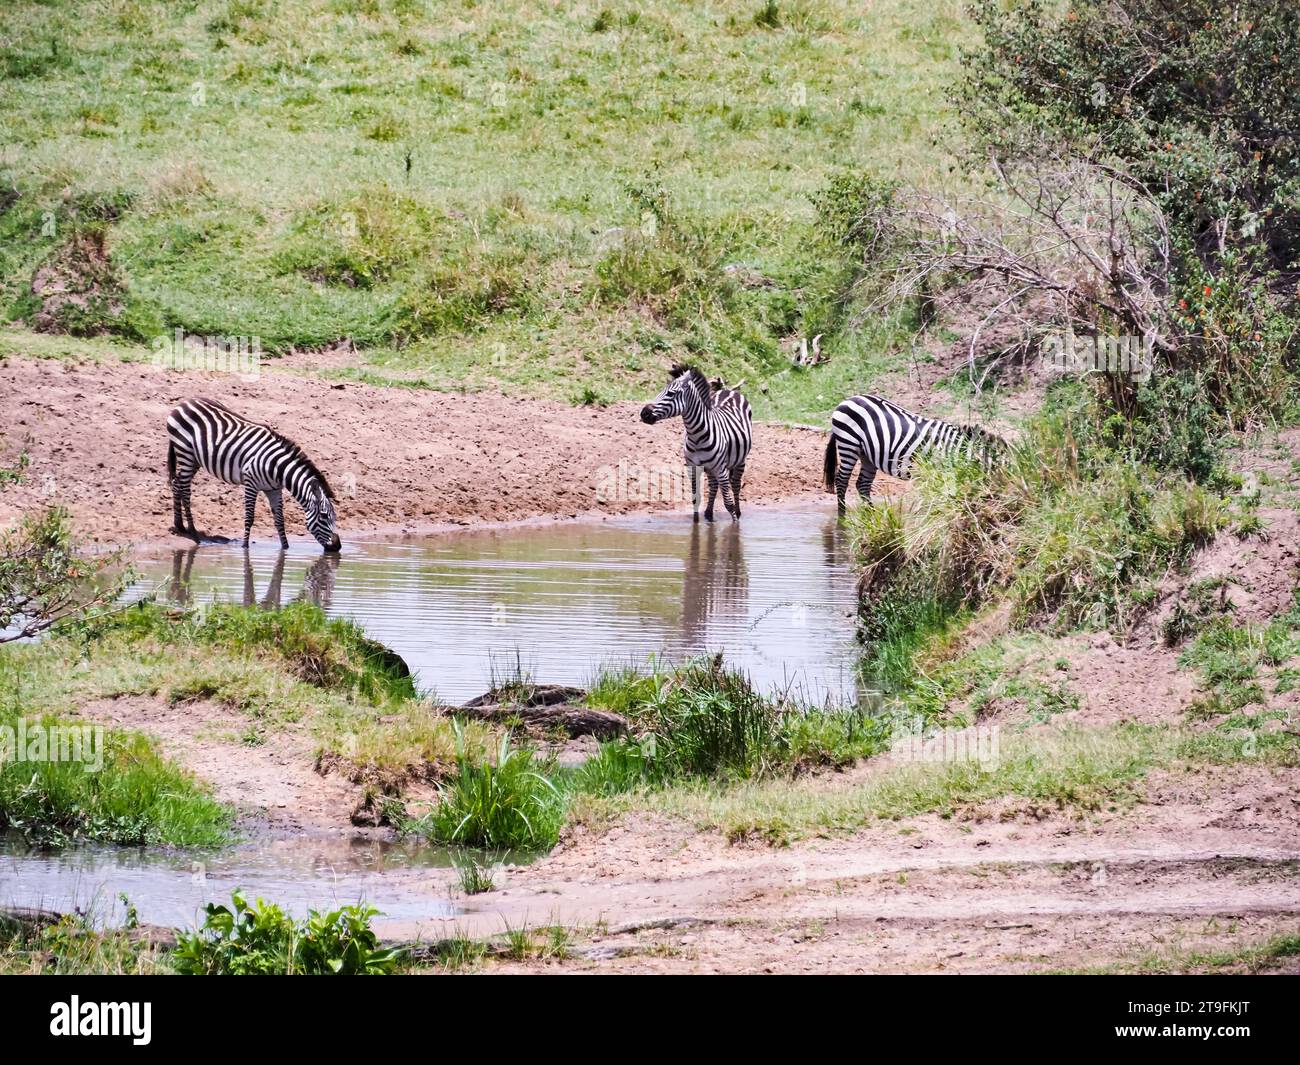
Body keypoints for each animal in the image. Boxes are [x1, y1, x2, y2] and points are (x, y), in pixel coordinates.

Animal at [165, 397, 340, 553]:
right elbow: (249, 518)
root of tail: (185, 402)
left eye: (334, 517)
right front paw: (245, 547)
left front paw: (285, 549)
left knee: (177, 483)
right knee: (185, 489)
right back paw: (193, 532)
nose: (337, 546)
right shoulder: (251, 484)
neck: (277, 467)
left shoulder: (274, 489)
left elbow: (279, 521)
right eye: (324, 516)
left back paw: (180, 525)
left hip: (195, 459)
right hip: (185, 452)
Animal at [639, 364, 754, 522]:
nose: (644, 413)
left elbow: (728, 503)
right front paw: (696, 524)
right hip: (712, 468)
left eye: (671, 393)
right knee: (713, 485)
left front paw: (735, 523)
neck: (697, 436)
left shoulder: (721, 469)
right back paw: (709, 513)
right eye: (660, 391)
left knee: (735, 485)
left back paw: (737, 511)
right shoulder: (692, 468)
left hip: (739, 461)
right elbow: (695, 499)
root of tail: (728, 391)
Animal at [821, 397, 1003, 517]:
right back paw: (842, 517)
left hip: (867, 455)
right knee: (842, 481)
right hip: (848, 444)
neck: (955, 451)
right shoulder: (937, 472)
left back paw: (873, 514)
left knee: (863, 484)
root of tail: (848, 400)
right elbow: (938, 497)